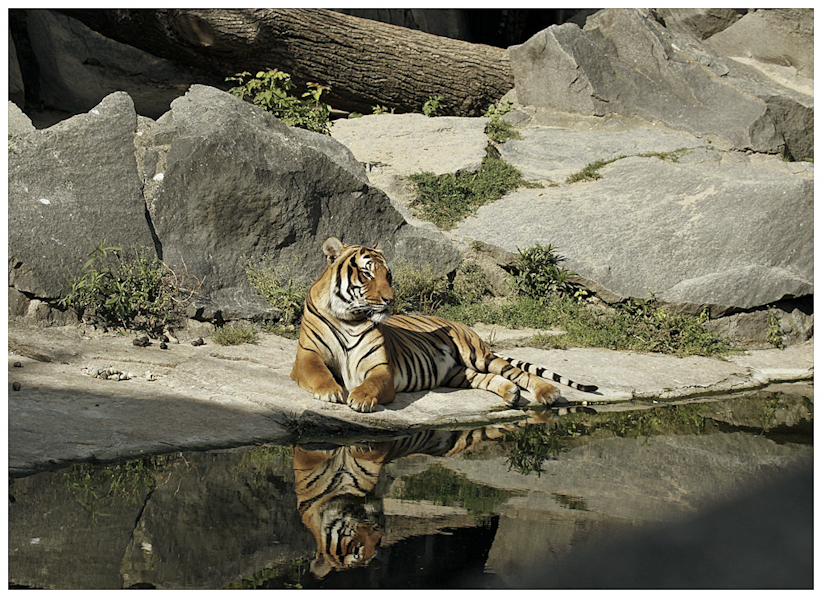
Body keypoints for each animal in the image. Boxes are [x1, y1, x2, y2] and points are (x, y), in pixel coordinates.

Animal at [291, 237, 598, 413]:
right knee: (489, 379)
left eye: (388, 275)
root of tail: (460, 324)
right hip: (457, 372)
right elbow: (318, 372)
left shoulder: (380, 367)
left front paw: (361, 398)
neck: (350, 317)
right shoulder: (307, 356)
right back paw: (510, 395)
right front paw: (330, 391)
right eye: (367, 274)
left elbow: (372, 383)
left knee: (518, 373)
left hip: (477, 356)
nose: (390, 300)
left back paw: (548, 393)